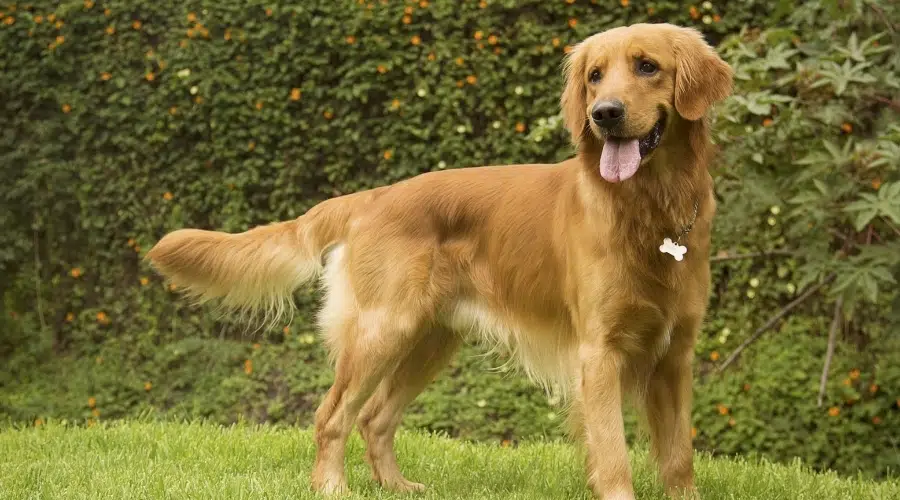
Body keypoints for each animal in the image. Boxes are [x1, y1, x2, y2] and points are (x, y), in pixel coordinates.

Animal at [146, 22, 732, 496]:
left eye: (647, 66)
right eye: (594, 75)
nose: (604, 114)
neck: (650, 211)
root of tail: (372, 196)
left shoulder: (676, 356)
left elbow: (679, 457)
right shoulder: (599, 354)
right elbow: (613, 456)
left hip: (428, 339)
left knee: (375, 418)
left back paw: (397, 486)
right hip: (384, 330)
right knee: (332, 414)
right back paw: (332, 487)